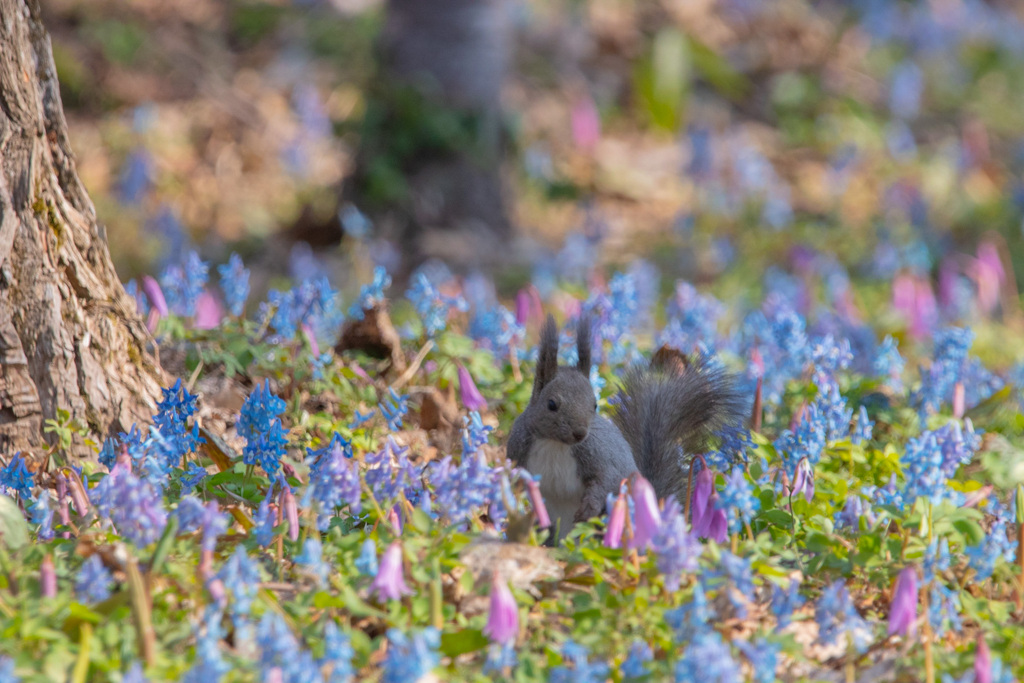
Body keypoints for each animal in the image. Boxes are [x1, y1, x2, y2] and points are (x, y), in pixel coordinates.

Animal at [507, 313, 749, 540]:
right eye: (551, 404)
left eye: (594, 405)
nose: (580, 433)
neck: (555, 443)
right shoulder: (517, 449)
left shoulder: (600, 454)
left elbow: (609, 479)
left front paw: (589, 508)